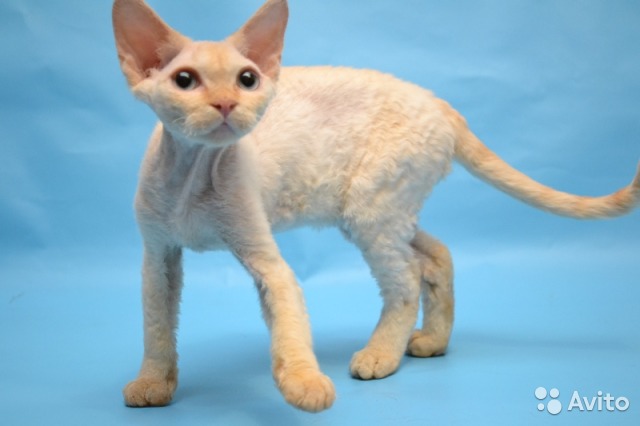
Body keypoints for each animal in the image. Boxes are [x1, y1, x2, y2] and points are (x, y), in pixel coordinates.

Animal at [112, 0, 639, 413]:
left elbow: (289, 326)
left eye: (247, 79)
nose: (226, 104)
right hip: (387, 209)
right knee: (437, 254)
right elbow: (156, 325)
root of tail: (440, 103)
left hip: (373, 209)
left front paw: (304, 384)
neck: (193, 174)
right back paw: (433, 341)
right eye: (185, 80)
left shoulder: (265, 257)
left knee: (405, 278)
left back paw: (382, 354)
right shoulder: (157, 256)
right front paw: (153, 382)